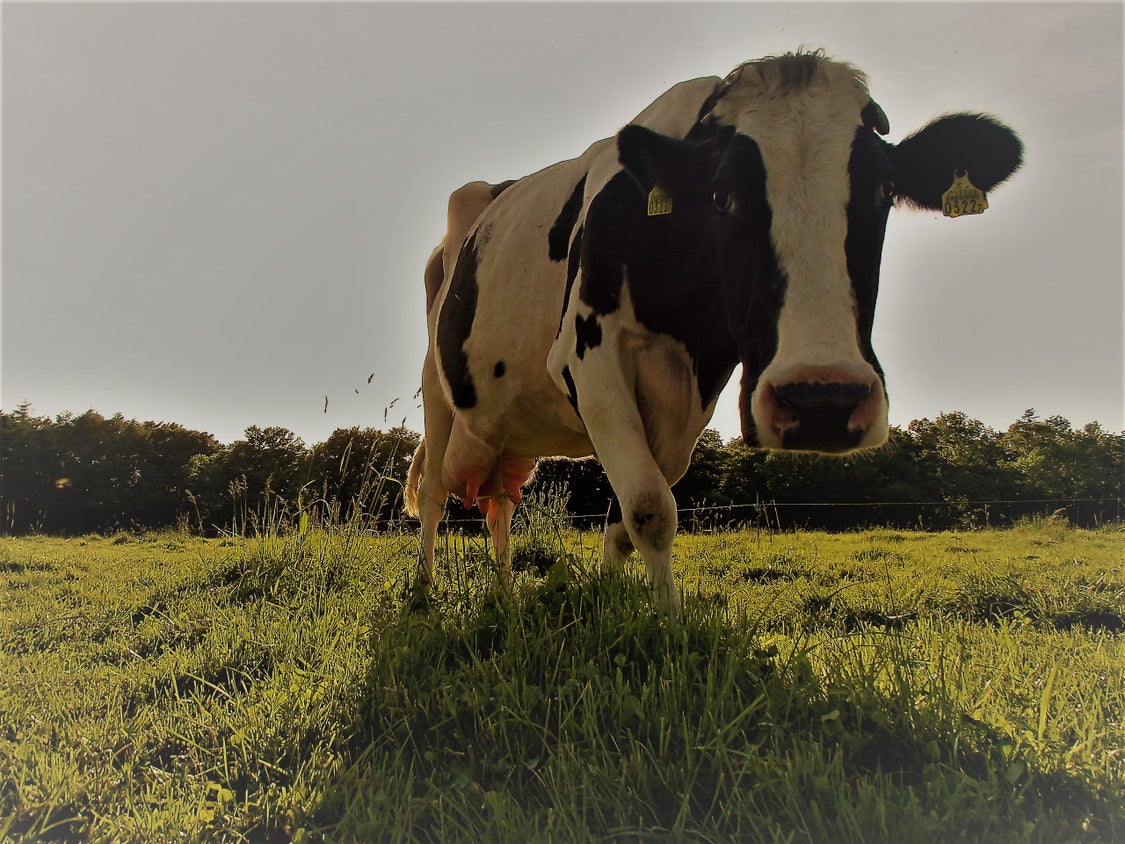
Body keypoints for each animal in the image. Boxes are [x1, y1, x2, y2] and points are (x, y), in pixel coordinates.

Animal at [405, 49, 1021, 612]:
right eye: (722, 195)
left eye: (884, 191)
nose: (822, 399)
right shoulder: (587, 355)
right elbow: (650, 506)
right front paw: (670, 627)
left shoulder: (698, 386)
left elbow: (626, 518)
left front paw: (613, 604)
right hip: (436, 385)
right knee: (434, 491)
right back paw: (422, 595)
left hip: (502, 425)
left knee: (498, 502)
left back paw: (505, 595)